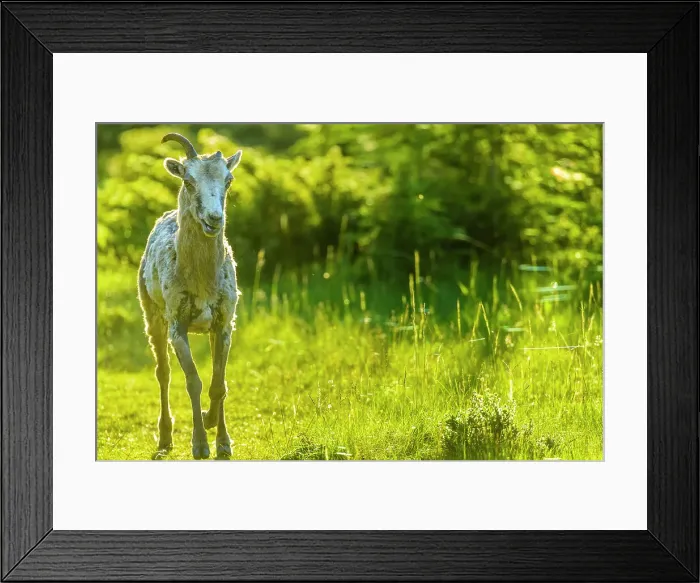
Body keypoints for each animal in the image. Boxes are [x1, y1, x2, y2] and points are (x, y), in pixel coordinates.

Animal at [138, 133, 242, 460]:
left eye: (229, 179)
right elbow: (193, 381)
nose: (214, 219)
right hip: (151, 314)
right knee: (163, 372)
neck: (202, 284)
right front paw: (200, 445)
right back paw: (164, 439)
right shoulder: (177, 325)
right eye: (188, 180)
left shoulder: (225, 322)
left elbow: (219, 383)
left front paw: (222, 441)